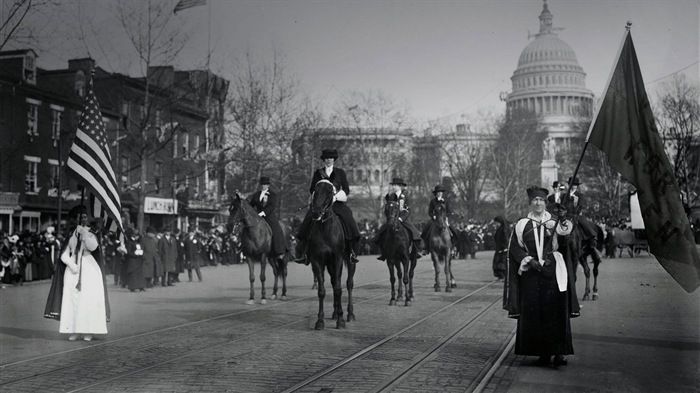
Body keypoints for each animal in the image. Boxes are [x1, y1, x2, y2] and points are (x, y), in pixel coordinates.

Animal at [308, 179, 356, 330]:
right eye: (315, 191)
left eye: (330, 192)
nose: (316, 212)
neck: (326, 229)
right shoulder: (317, 261)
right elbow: (322, 291)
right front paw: (320, 321)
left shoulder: (338, 259)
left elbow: (338, 289)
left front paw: (341, 320)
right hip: (329, 265)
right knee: (334, 281)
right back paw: (335, 312)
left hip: (350, 260)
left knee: (349, 283)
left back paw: (349, 314)